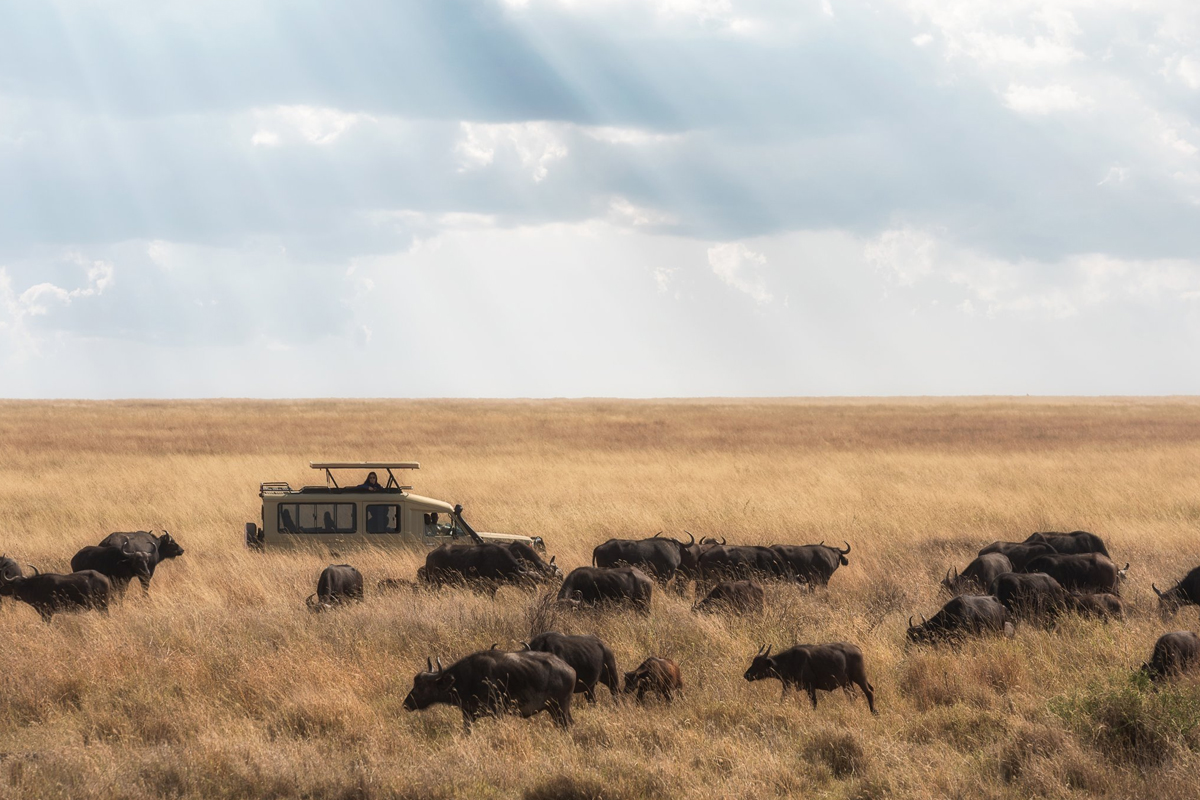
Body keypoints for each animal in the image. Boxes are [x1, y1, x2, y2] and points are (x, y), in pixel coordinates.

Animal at [403, 652, 576, 734]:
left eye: (420, 687)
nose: (406, 704)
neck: (467, 678)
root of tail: (570, 670)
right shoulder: (468, 715)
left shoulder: (497, 712)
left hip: (560, 708)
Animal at [744, 642, 878, 714]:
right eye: (753, 662)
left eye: (759, 664)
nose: (746, 675)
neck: (791, 661)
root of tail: (856, 648)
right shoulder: (787, 685)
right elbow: (783, 699)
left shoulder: (810, 686)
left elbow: (814, 702)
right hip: (847, 683)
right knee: (852, 696)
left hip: (859, 677)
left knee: (869, 692)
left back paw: (874, 712)